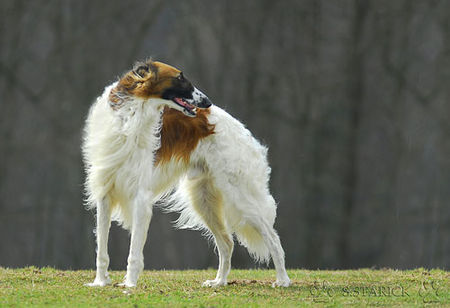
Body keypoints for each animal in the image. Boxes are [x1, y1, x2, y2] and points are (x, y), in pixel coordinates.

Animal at [82, 60, 290, 288]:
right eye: (179, 77)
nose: (206, 102)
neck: (130, 117)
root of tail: (243, 132)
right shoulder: (105, 193)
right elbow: (101, 250)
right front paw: (100, 282)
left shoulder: (141, 197)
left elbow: (134, 252)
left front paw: (130, 284)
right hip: (203, 199)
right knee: (227, 243)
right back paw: (219, 281)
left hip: (240, 196)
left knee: (273, 239)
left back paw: (282, 280)